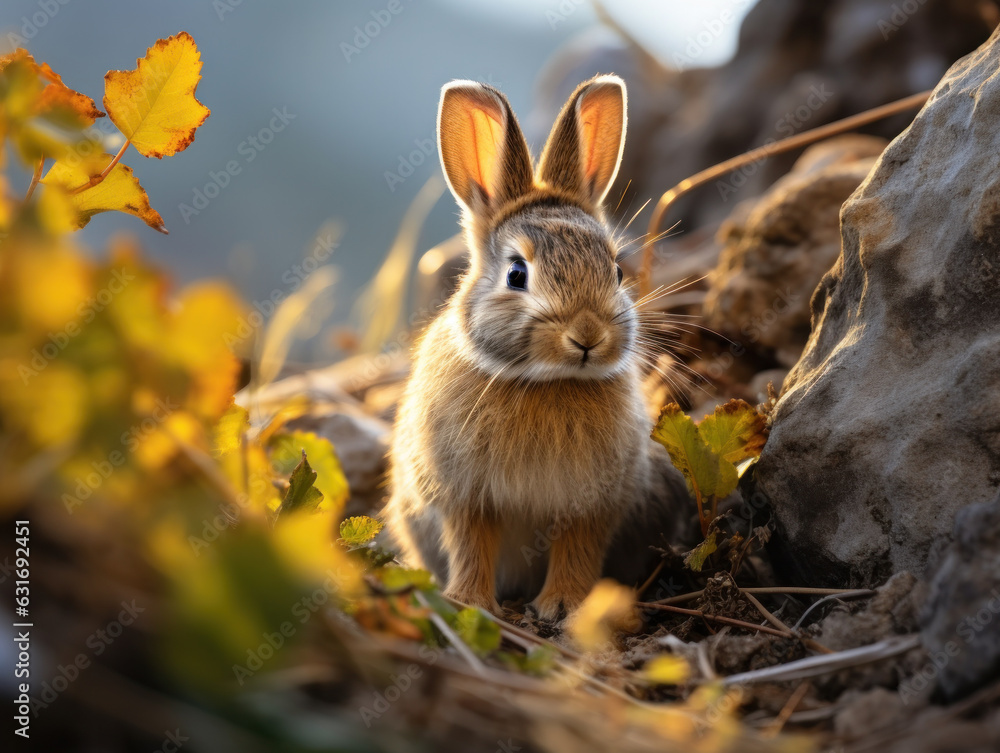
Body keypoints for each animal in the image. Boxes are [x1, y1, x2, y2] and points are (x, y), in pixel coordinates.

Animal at [382, 74, 689, 621]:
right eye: (516, 274)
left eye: (616, 270)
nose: (588, 335)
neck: (546, 381)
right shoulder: (466, 496)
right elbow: (471, 545)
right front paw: (469, 602)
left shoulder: (592, 503)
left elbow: (577, 548)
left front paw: (565, 605)